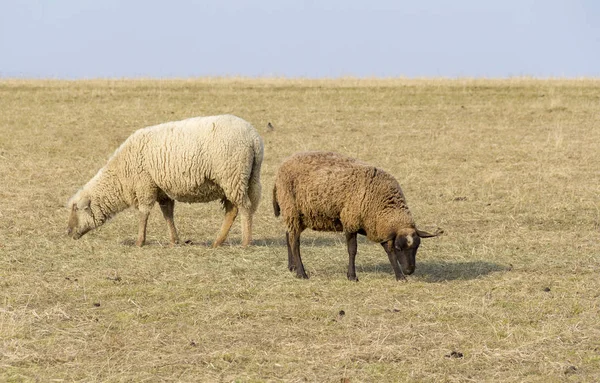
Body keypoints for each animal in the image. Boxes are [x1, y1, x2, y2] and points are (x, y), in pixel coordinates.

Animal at [67, 114, 262, 248]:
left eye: (76, 209)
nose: (68, 233)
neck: (120, 176)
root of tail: (254, 139)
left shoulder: (145, 184)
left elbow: (143, 213)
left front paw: (140, 241)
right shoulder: (161, 189)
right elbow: (168, 213)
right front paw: (174, 240)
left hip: (232, 175)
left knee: (244, 207)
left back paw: (245, 242)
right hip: (247, 178)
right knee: (233, 209)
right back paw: (218, 242)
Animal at [274, 151, 440, 282]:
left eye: (417, 247)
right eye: (400, 248)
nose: (409, 271)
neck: (381, 202)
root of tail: (283, 165)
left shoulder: (377, 227)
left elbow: (389, 251)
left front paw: (400, 277)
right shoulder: (350, 221)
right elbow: (352, 250)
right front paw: (352, 276)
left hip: (300, 216)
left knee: (289, 235)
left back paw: (292, 267)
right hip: (292, 210)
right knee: (295, 243)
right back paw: (301, 273)